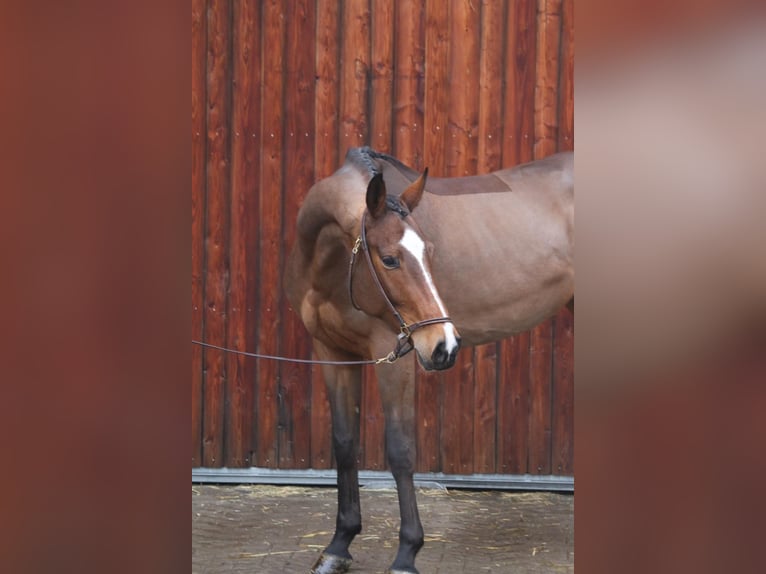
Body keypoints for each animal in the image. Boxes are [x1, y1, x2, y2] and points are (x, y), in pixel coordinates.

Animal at [284, 146, 574, 574]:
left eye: (431, 252)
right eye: (389, 260)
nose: (446, 346)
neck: (332, 272)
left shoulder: (396, 354)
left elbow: (401, 450)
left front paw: (406, 553)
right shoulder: (332, 352)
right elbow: (344, 443)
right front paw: (339, 544)